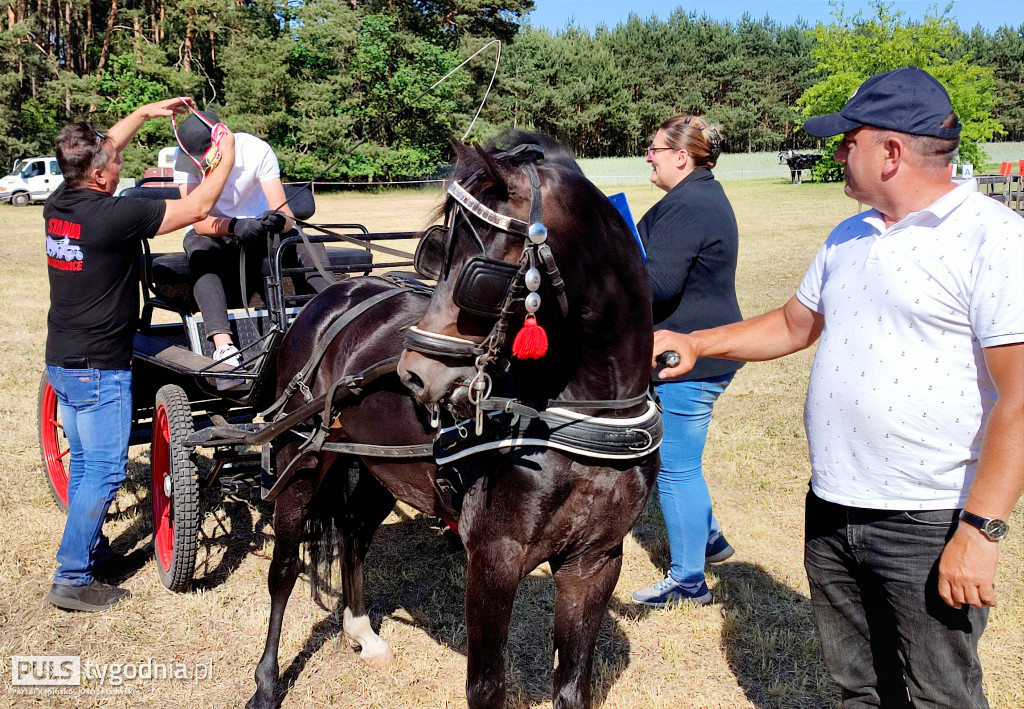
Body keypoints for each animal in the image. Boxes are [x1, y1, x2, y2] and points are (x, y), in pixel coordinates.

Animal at [251, 133, 659, 709]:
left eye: (479, 274)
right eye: (441, 256)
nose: (413, 374)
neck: (583, 413)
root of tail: (328, 298)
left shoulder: (596, 560)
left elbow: (573, 687)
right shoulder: (493, 558)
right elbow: (485, 688)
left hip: (381, 467)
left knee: (353, 533)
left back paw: (362, 631)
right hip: (300, 458)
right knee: (284, 569)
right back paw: (266, 682)